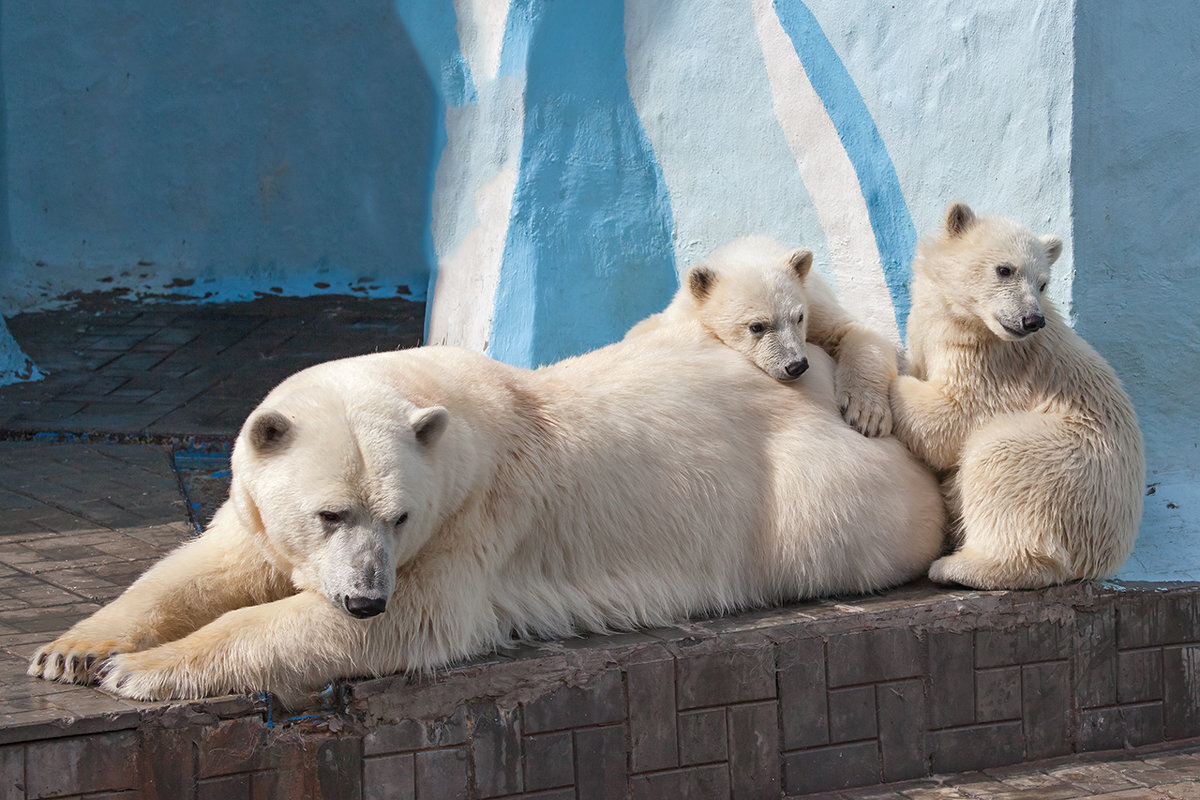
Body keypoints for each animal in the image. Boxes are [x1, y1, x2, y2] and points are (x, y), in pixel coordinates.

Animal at [30, 321, 945, 695]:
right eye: (331, 514)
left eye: (396, 516)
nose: (364, 595)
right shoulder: (261, 514)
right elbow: (200, 566)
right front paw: (70, 652)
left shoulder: (474, 521)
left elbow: (414, 621)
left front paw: (137, 670)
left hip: (808, 493)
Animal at [633, 237, 897, 438]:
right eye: (756, 326)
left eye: (799, 317)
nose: (796, 365)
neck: (747, 253)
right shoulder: (683, 312)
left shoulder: (815, 304)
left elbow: (855, 331)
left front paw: (867, 415)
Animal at [892, 200, 1142, 587]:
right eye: (1004, 269)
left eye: (1043, 283)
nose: (1032, 320)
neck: (963, 319)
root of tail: (1104, 559)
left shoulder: (991, 362)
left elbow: (951, 416)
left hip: (1071, 465)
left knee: (1000, 459)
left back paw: (961, 566)